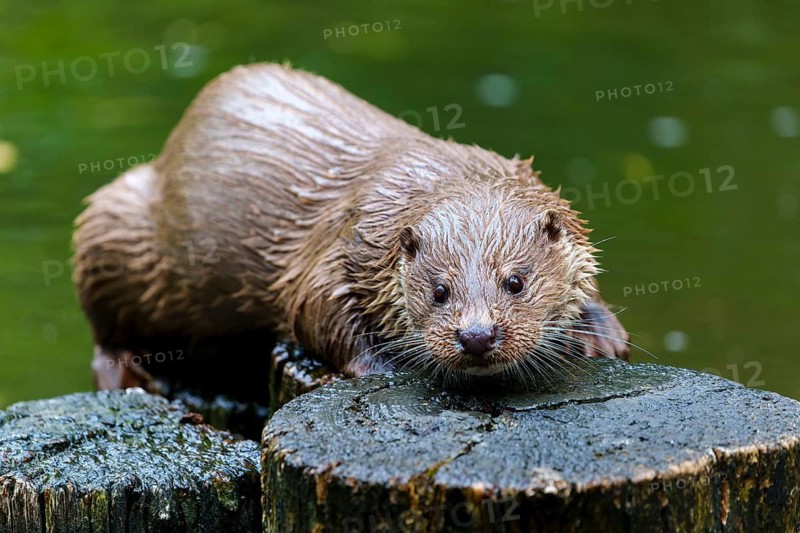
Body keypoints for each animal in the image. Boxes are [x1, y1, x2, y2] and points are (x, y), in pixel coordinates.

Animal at [73, 63, 629, 390]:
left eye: (515, 282)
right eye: (440, 291)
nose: (476, 336)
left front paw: (601, 332)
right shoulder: (342, 245)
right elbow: (315, 308)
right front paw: (381, 365)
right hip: (118, 223)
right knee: (103, 323)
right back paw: (124, 373)